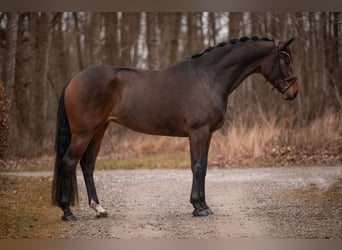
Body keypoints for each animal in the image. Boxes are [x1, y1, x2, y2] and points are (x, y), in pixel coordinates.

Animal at [52, 36, 298, 220]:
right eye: (285, 60)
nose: (293, 92)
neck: (208, 78)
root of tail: (74, 79)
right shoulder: (198, 132)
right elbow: (197, 166)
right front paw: (199, 207)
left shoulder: (207, 134)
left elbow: (204, 167)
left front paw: (201, 204)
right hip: (83, 133)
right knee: (69, 162)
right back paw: (67, 212)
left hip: (99, 130)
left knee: (87, 165)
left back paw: (99, 208)